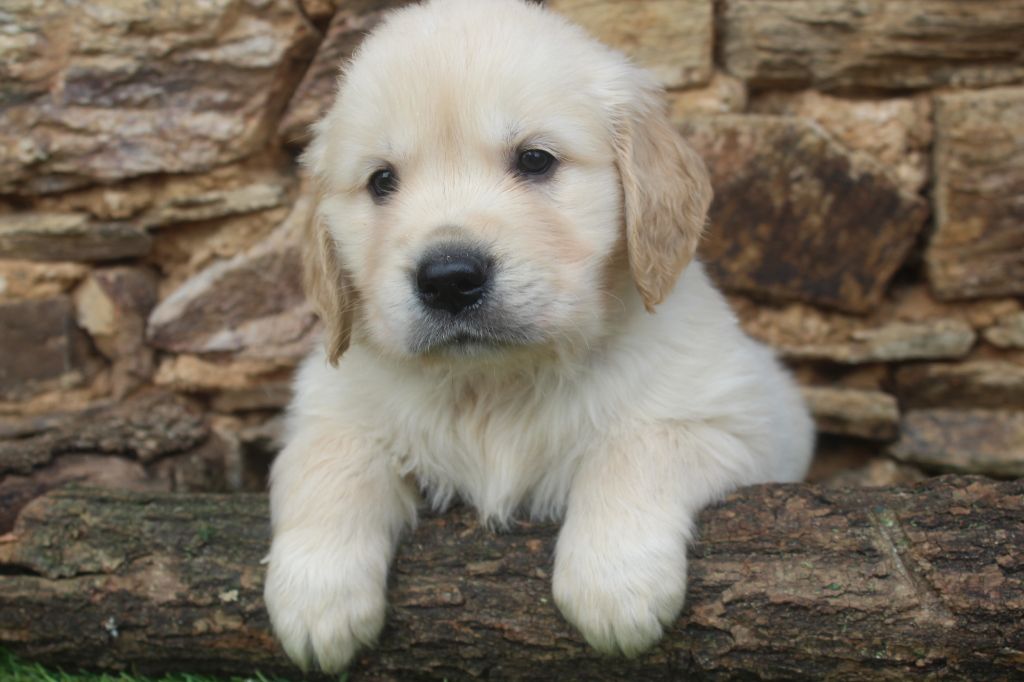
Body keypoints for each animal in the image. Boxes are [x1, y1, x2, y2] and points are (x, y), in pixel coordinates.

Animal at [266, 0, 815, 667]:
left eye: (535, 160)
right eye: (380, 181)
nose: (449, 279)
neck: (498, 383)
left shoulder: (736, 419)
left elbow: (637, 446)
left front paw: (615, 582)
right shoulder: (332, 402)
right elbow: (327, 460)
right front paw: (315, 600)